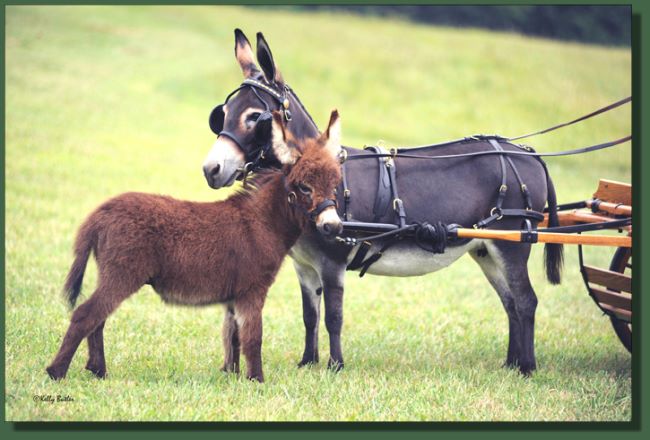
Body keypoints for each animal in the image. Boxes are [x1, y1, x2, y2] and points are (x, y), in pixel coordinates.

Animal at [47, 110, 344, 383]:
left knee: (98, 319)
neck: (263, 221)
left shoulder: (234, 296)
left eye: (335, 186)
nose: (333, 226)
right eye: (304, 187)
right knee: (85, 315)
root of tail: (101, 212)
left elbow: (232, 335)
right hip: (122, 275)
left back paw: (97, 370)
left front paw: (231, 374)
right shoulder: (252, 290)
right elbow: (253, 337)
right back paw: (56, 372)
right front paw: (256, 379)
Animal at [201, 29, 563, 375]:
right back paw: (511, 364)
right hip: (486, 248)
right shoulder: (304, 266)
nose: (210, 170)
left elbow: (333, 316)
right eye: (222, 115)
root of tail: (529, 154)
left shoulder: (332, 262)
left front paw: (335, 366)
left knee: (526, 301)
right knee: (511, 302)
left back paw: (527, 368)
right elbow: (309, 316)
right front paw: (308, 362)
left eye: (254, 118)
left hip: (512, 243)